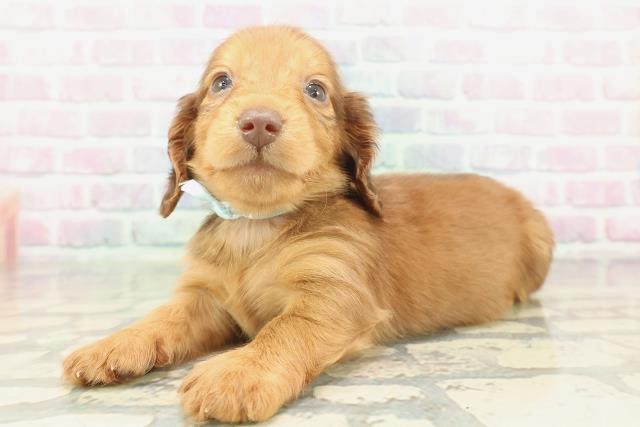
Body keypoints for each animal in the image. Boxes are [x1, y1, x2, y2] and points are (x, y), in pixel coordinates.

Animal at [62, 26, 554, 423]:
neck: (256, 225)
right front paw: (112, 345)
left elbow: (286, 329)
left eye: (315, 90)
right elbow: (163, 316)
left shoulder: (333, 292)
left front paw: (239, 372)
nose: (259, 122)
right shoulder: (205, 298)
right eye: (221, 82)